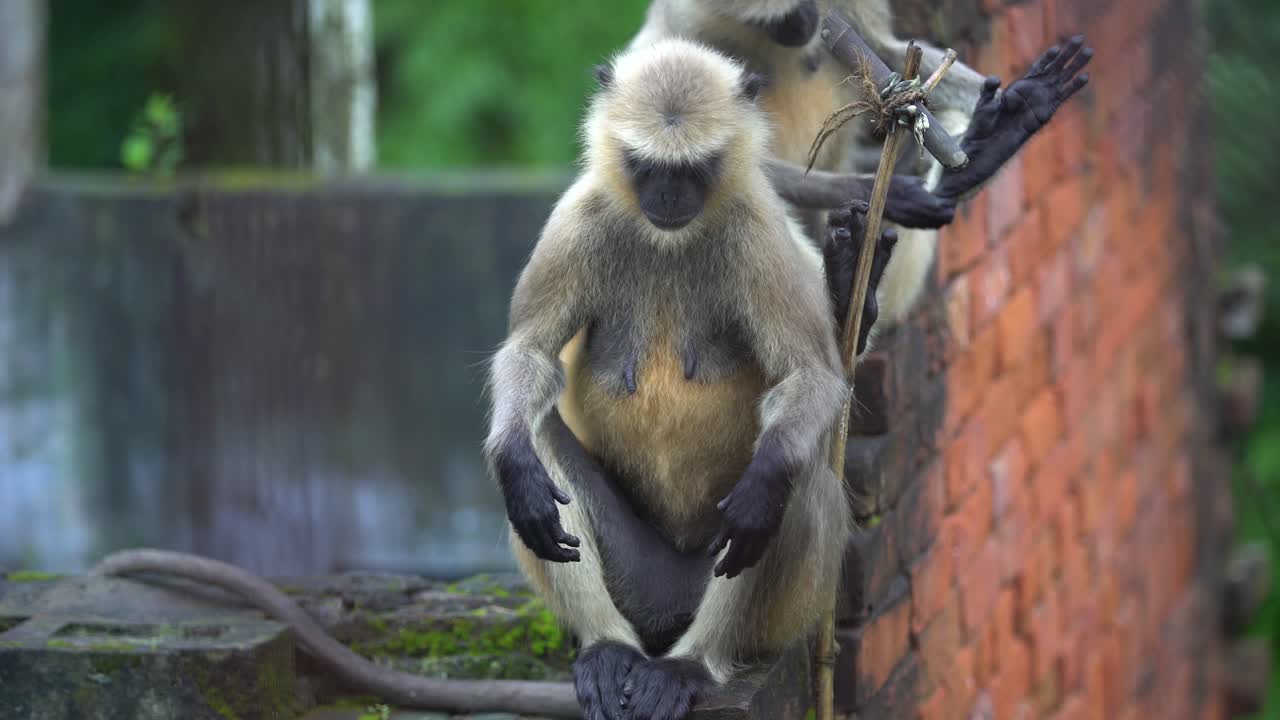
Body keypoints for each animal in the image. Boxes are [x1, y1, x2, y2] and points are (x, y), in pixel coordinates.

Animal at [485, 39, 902, 720]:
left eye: (694, 169)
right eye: (645, 165)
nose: (668, 199)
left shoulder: (759, 229)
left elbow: (811, 380)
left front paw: (767, 480)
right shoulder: (578, 216)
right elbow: (531, 355)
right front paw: (515, 463)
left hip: (748, 590)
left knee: (797, 476)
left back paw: (693, 664)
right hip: (641, 577)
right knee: (538, 437)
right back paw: (608, 649)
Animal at [627, 0, 1092, 325]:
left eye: (801, 8)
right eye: (777, 21)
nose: (803, 24)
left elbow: (881, 51)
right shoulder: (686, 25)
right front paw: (877, 192)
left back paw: (983, 151)